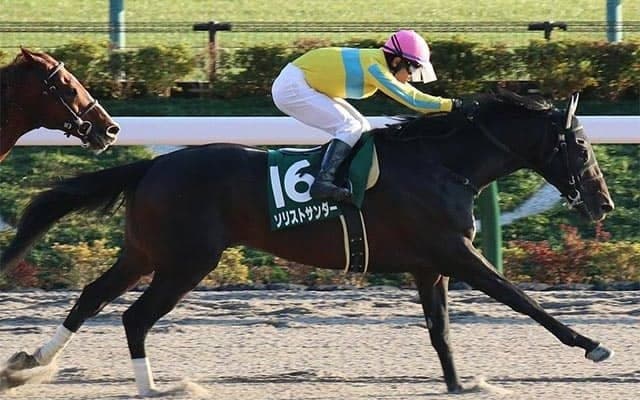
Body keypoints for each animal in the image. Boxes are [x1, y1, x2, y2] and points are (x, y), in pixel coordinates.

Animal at [0, 89, 614, 397]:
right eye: (581, 146)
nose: (604, 203)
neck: (443, 163)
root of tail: (151, 166)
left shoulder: (430, 265)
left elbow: (440, 331)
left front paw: (460, 386)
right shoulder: (456, 253)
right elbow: (523, 301)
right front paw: (593, 346)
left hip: (146, 252)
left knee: (92, 297)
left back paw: (29, 362)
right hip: (186, 262)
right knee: (134, 316)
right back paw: (154, 390)